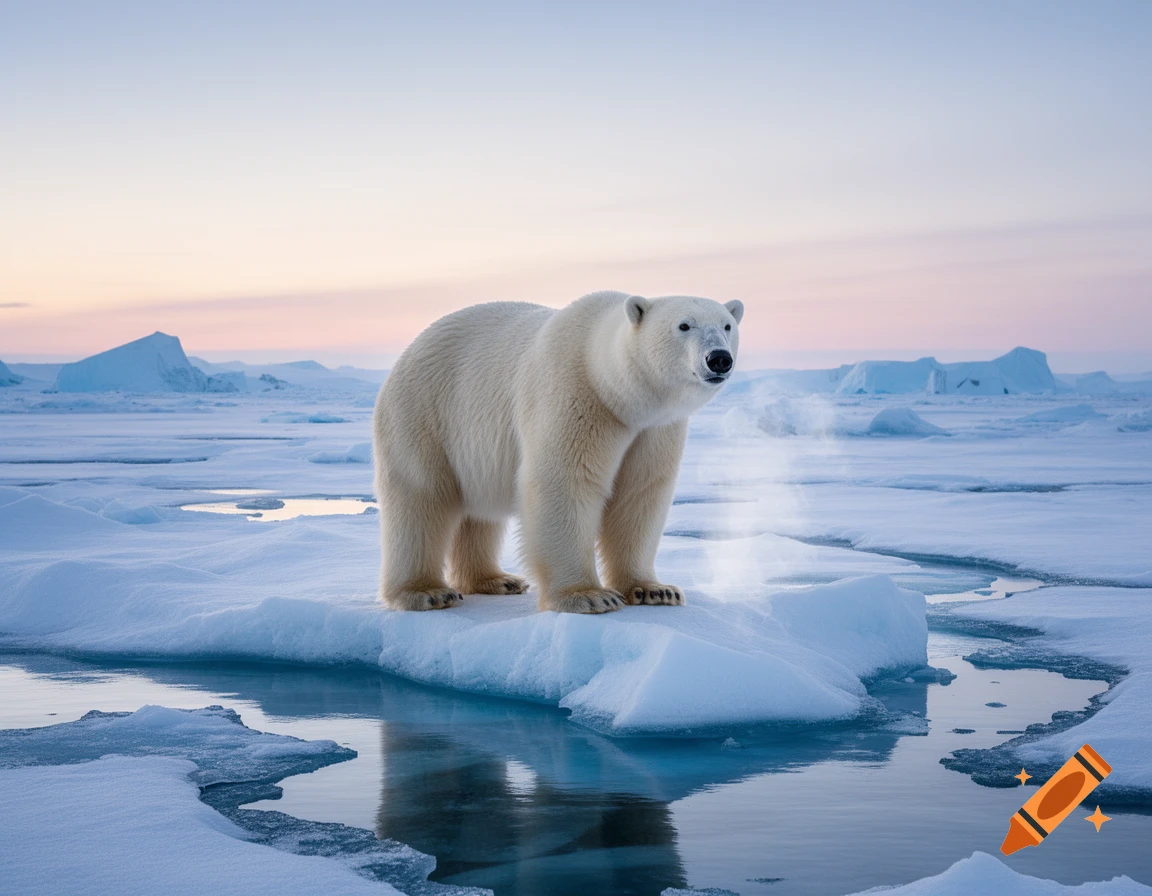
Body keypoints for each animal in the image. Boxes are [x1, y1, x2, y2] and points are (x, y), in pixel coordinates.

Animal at [372, 290, 743, 614]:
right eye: (684, 325)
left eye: (727, 325)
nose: (719, 359)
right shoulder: (576, 396)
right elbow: (565, 482)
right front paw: (589, 596)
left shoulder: (654, 430)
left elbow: (640, 494)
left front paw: (655, 590)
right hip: (424, 414)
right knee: (421, 498)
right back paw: (427, 592)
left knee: (480, 513)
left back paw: (496, 580)